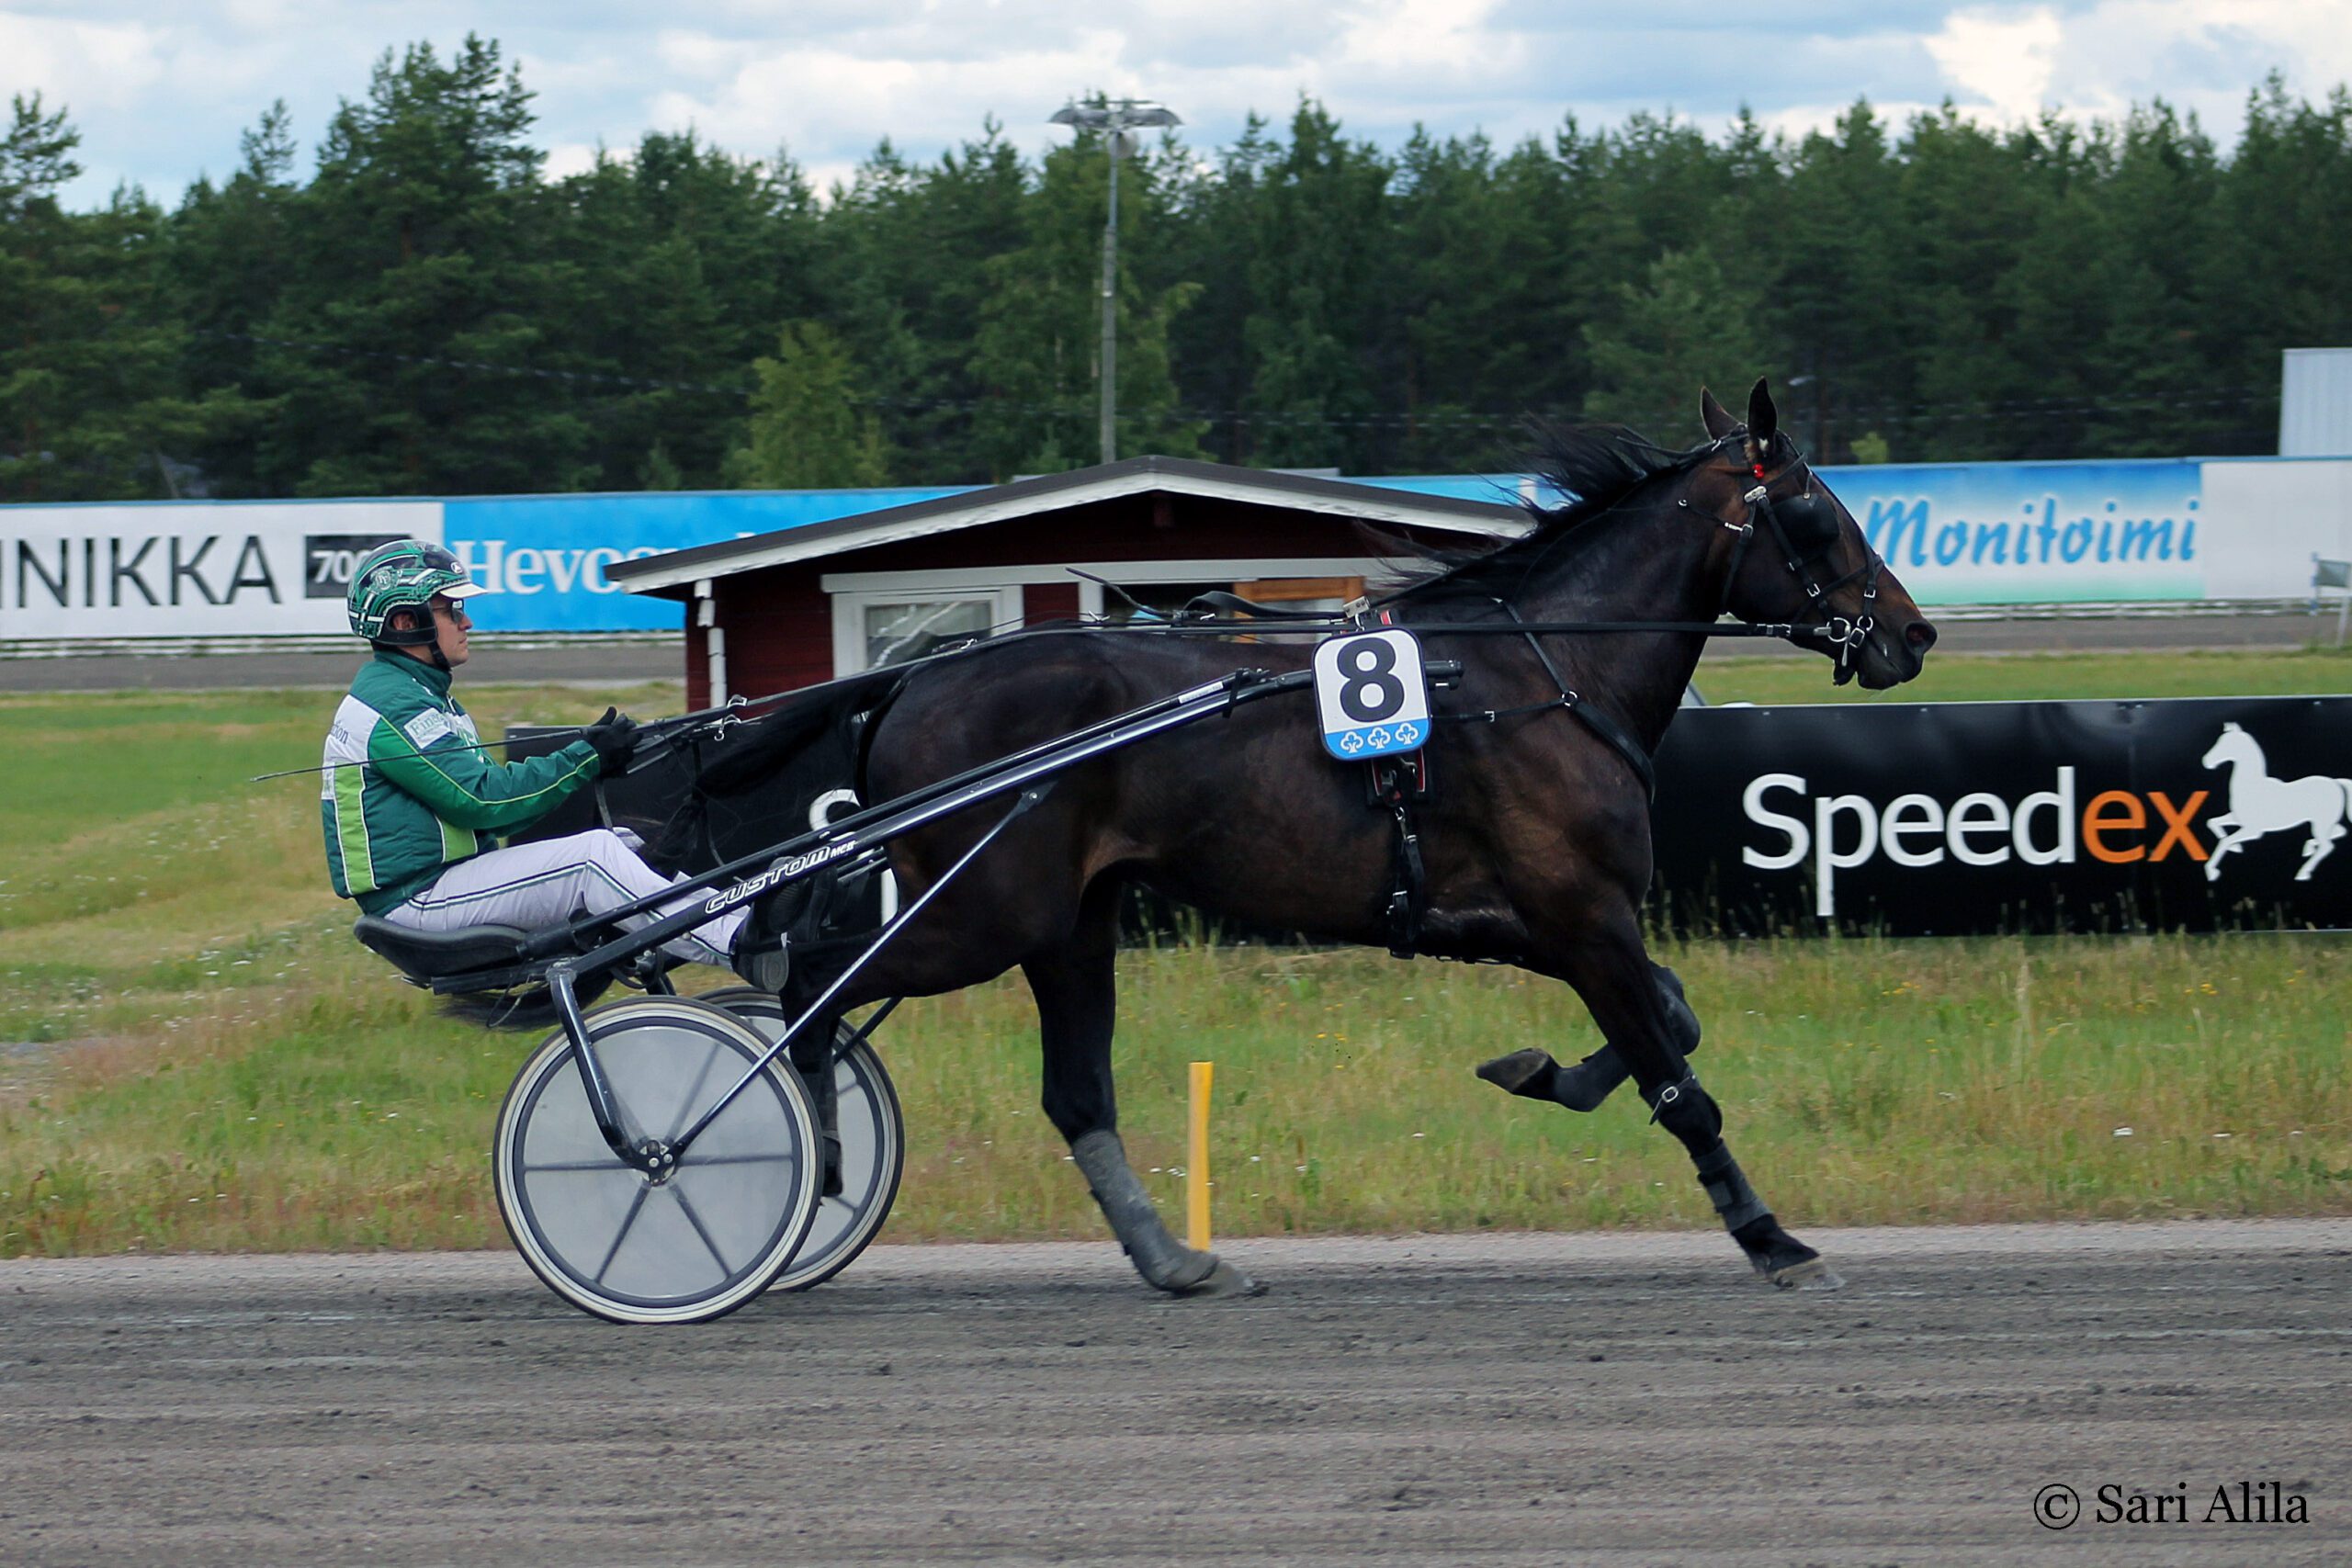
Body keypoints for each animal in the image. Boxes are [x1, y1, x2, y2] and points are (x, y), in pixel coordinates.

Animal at [664, 379, 1937, 1296]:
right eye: (1816, 513)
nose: (1912, 635)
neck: (1539, 676)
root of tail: (911, 679)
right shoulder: (1581, 914)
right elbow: (1680, 1078)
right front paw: (1769, 1236)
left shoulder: (1525, 922)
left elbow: (1668, 1023)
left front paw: (1540, 1071)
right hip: (987, 912)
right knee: (811, 982)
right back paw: (783, 1152)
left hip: (1069, 923)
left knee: (1071, 1093)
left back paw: (1175, 1262)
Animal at [2201, 722, 2352, 882]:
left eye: (2227, 743)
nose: (2206, 761)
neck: (2251, 787)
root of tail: (2336, 783)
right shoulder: (2238, 819)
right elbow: (2212, 822)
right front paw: (2236, 847)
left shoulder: (2253, 830)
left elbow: (2225, 841)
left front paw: (2212, 871)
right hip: (2323, 823)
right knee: (2339, 832)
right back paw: (2308, 848)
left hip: (2321, 824)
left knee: (2327, 846)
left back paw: (2303, 872)